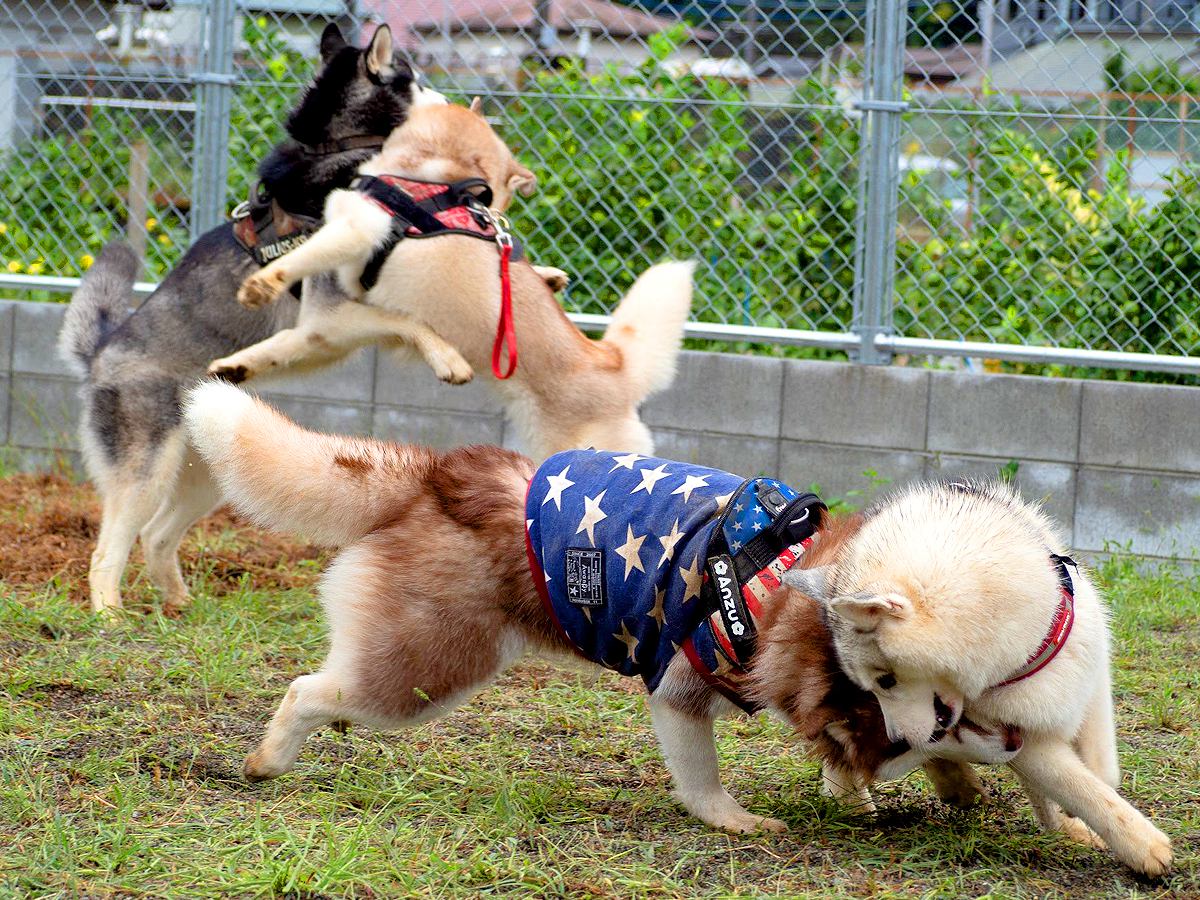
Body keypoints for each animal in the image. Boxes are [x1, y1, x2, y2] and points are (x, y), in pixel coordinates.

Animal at [211, 102, 691, 460]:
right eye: (493, 198)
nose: (498, 215)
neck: (427, 173)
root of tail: (612, 365)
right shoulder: (325, 330)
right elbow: (278, 347)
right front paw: (233, 366)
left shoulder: (357, 229)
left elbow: (302, 258)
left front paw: (262, 285)